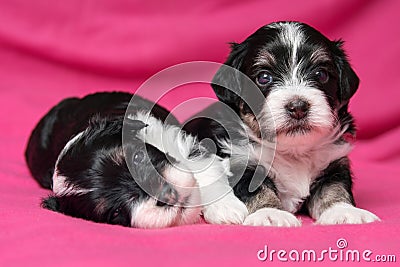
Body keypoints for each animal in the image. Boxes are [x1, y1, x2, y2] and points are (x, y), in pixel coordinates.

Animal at [183, 21, 380, 226]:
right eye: (264, 77)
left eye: (321, 74)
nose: (298, 107)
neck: (293, 151)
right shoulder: (241, 161)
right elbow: (259, 190)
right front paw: (270, 213)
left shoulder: (334, 162)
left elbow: (334, 188)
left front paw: (343, 211)